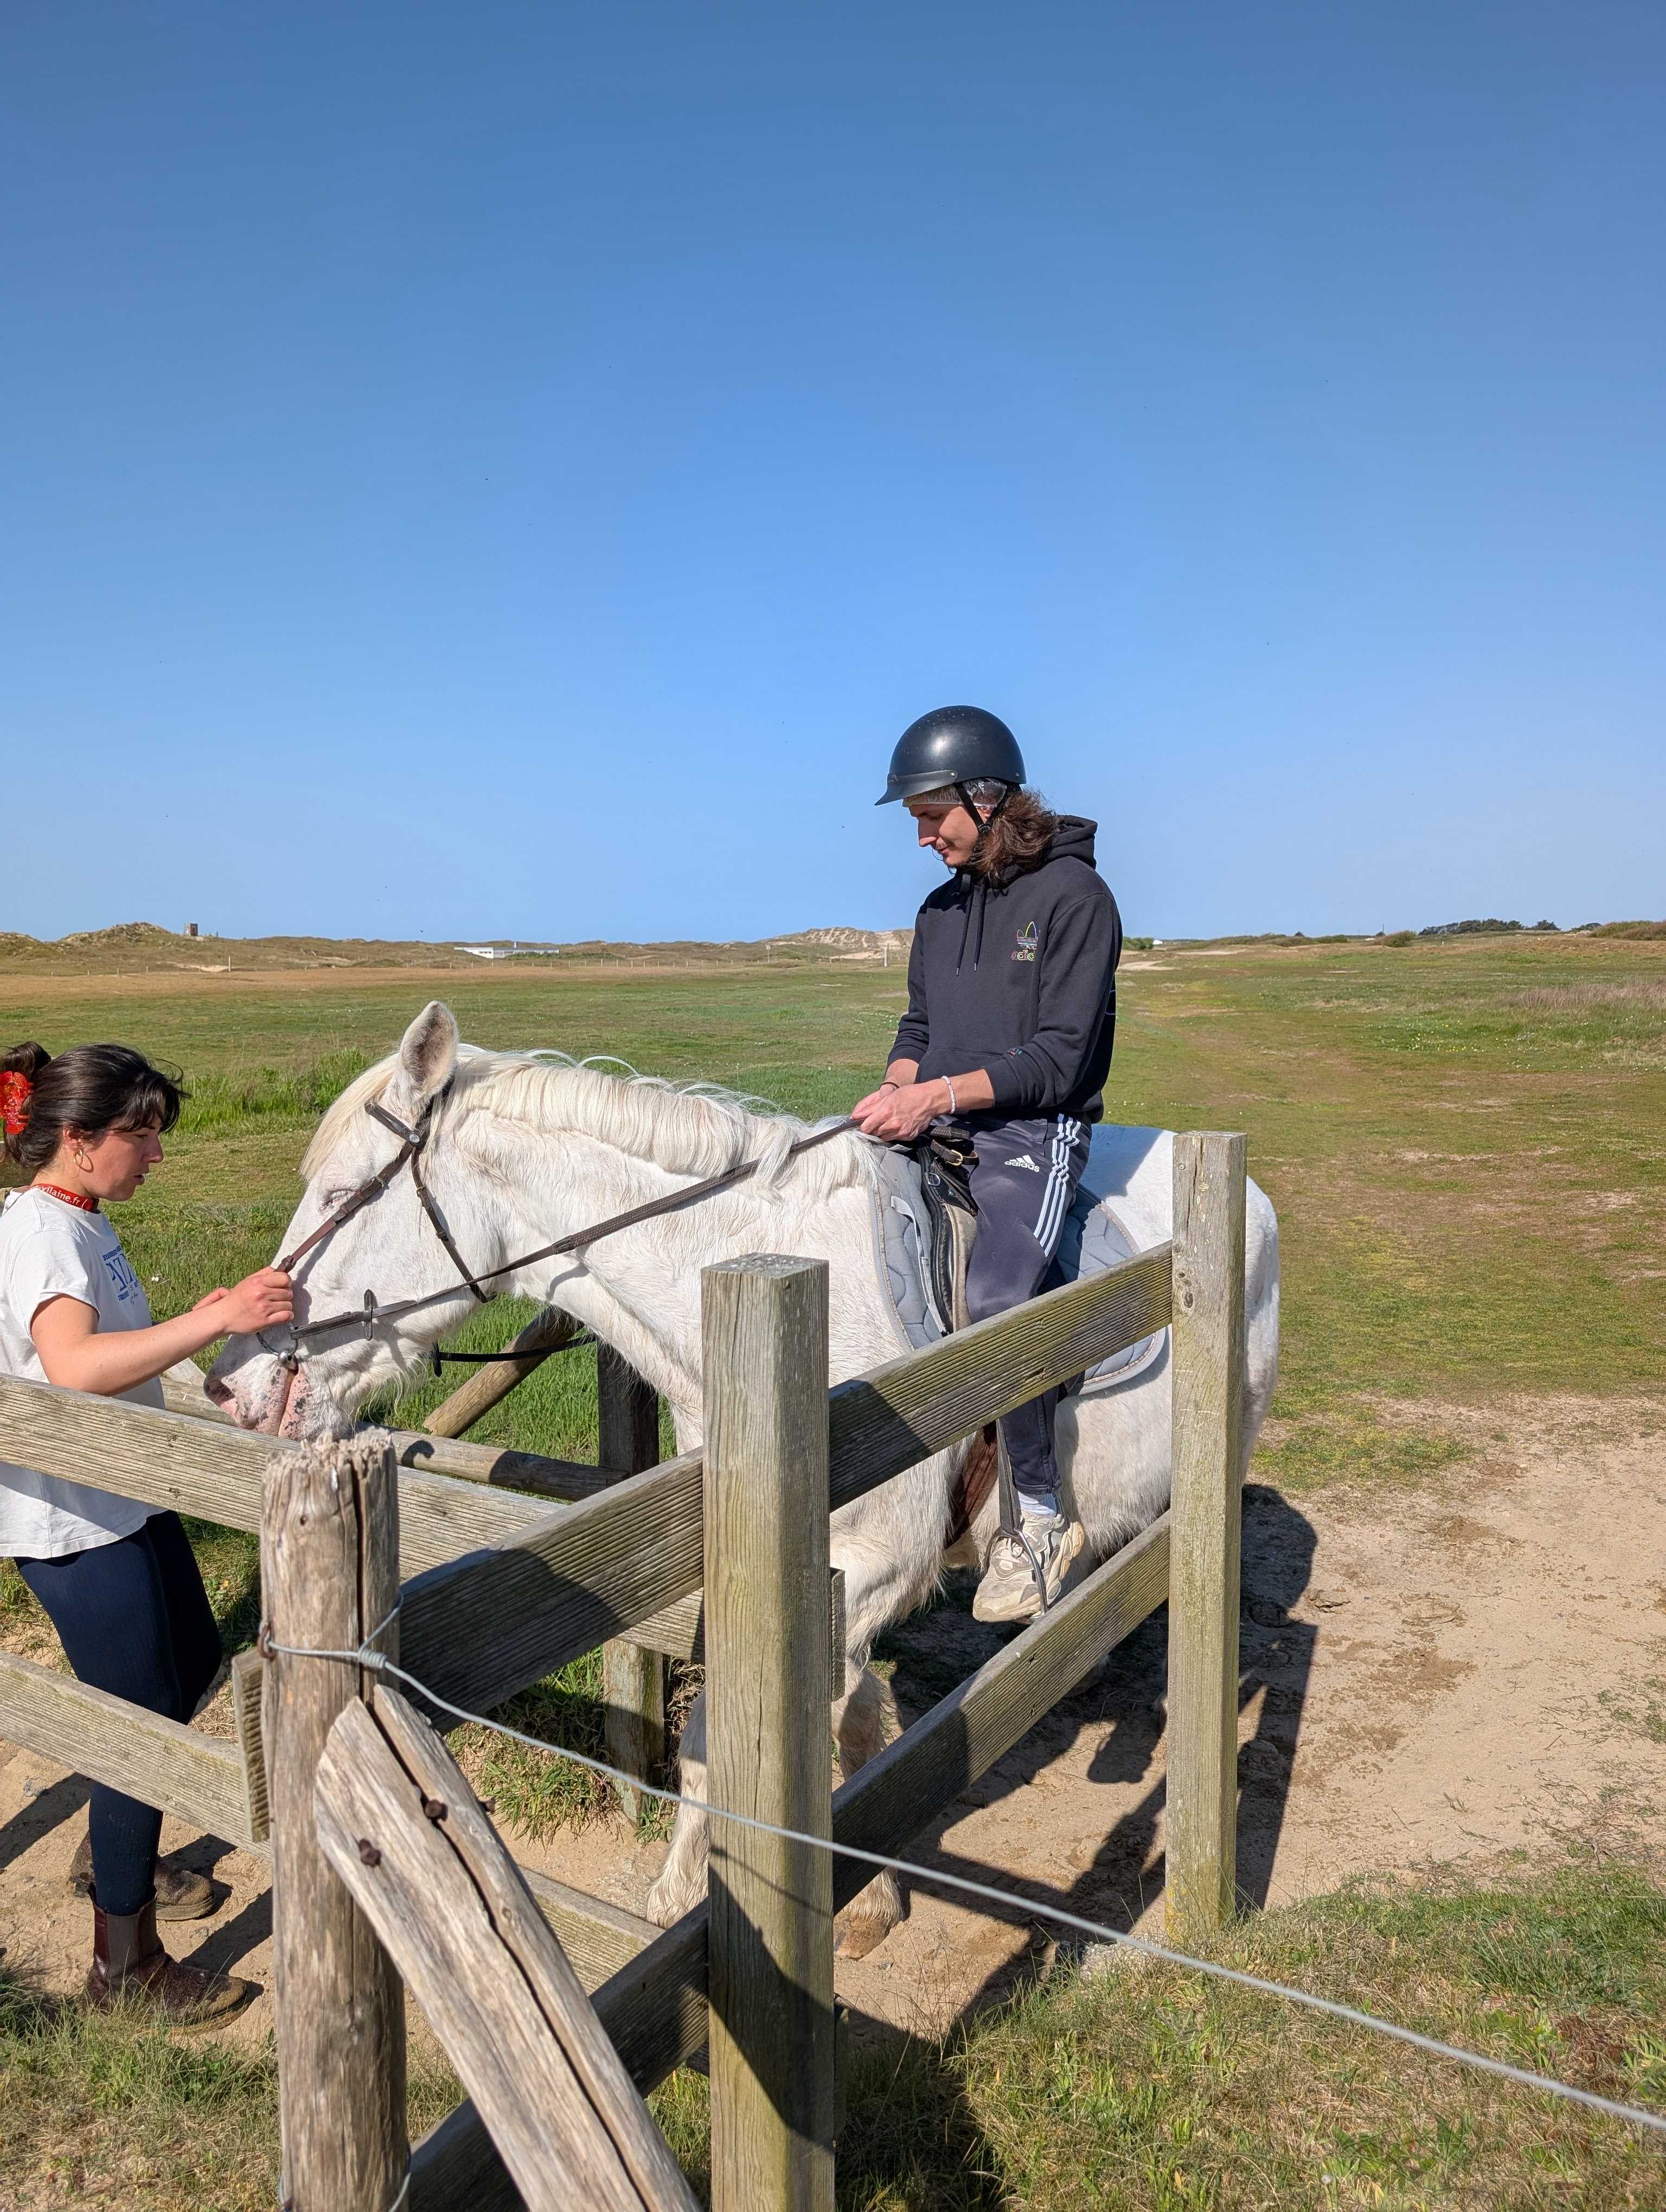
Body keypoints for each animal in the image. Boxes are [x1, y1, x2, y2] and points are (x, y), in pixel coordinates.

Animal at [208, 1001, 1280, 1952]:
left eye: (341, 1195)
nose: (232, 1382)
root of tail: (1246, 1191)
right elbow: (800, 1724)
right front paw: (795, 1897)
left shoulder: (874, 1565)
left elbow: (773, 1729)